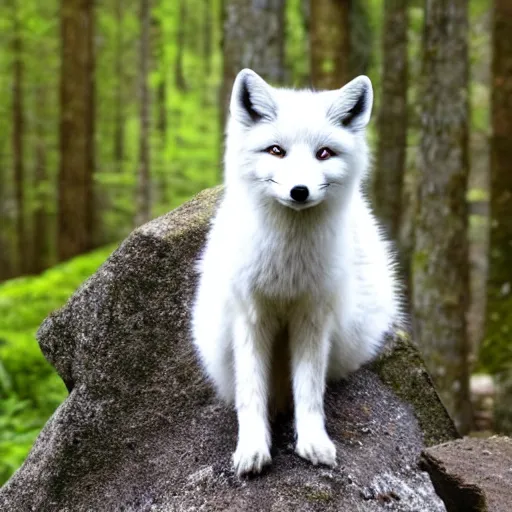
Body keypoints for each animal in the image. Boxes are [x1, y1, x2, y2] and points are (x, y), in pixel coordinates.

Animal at [191, 68, 400, 476]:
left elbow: (309, 391)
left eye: (324, 153)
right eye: (276, 150)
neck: (287, 267)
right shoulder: (250, 315)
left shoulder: (314, 315)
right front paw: (252, 448)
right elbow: (251, 393)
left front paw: (313, 443)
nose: (299, 191)